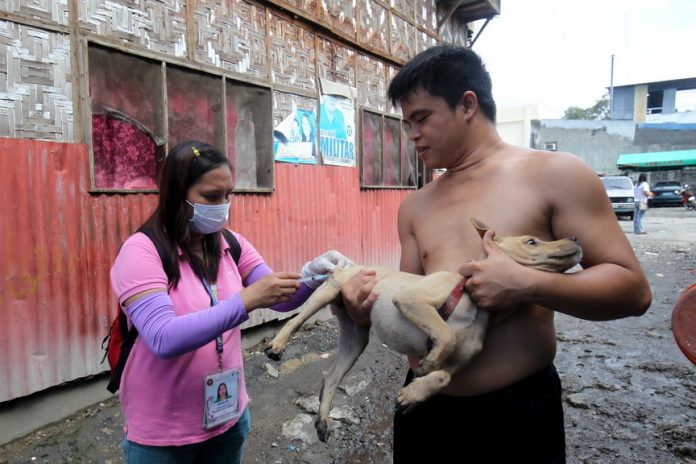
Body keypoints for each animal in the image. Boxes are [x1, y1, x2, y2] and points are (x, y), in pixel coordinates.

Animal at [266, 218, 580, 442]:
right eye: (531, 241)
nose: (575, 238)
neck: (471, 297)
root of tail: (349, 266)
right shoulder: (412, 300)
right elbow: (447, 335)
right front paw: (428, 364)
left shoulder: (460, 362)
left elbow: (442, 375)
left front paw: (415, 392)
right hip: (327, 293)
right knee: (294, 321)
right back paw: (277, 345)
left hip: (355, 338)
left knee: (331, 377)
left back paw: (322, 421)